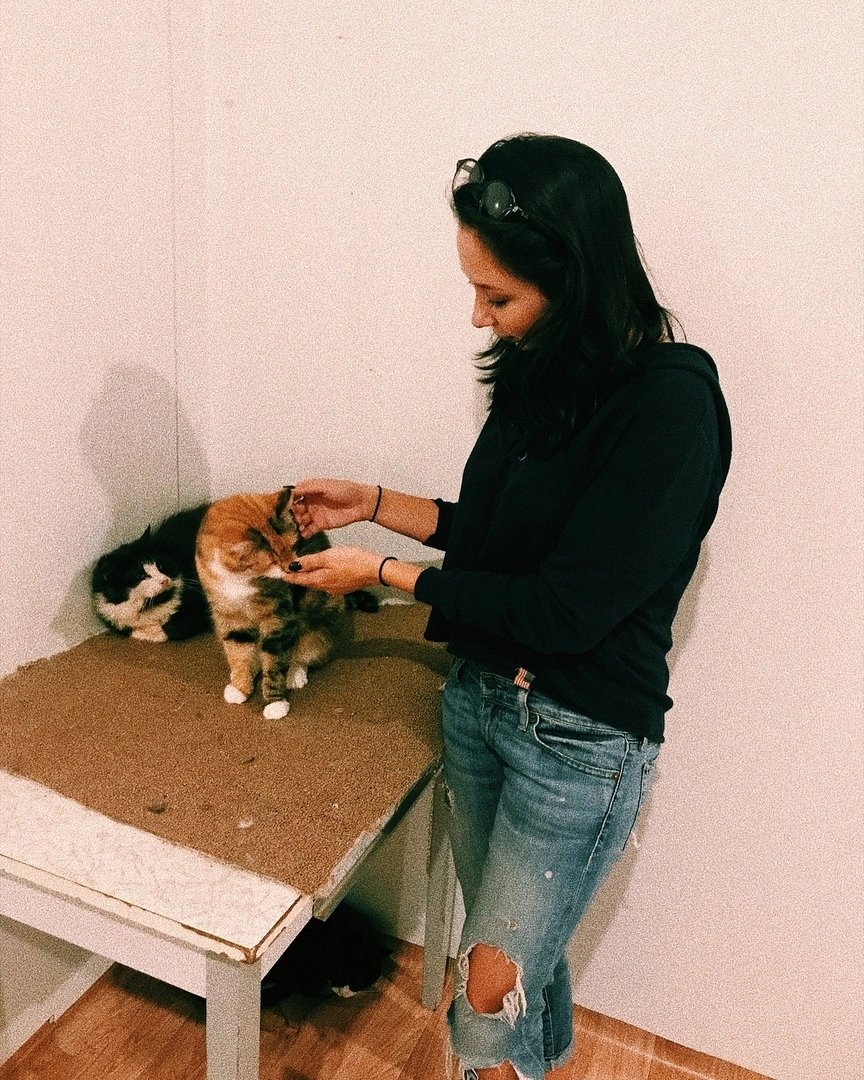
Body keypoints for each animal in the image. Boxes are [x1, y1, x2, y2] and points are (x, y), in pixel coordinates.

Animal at [195, 485, 375, 719]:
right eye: (272, 560)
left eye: (293, 545)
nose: (292, 566)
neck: (239, 579)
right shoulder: (229, 616)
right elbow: (238, 653)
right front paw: (240, 687)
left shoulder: (278, 617)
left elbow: (274, 662)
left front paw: (276, 704)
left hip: (320, 622)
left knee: (305, 650)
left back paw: (294, 674)